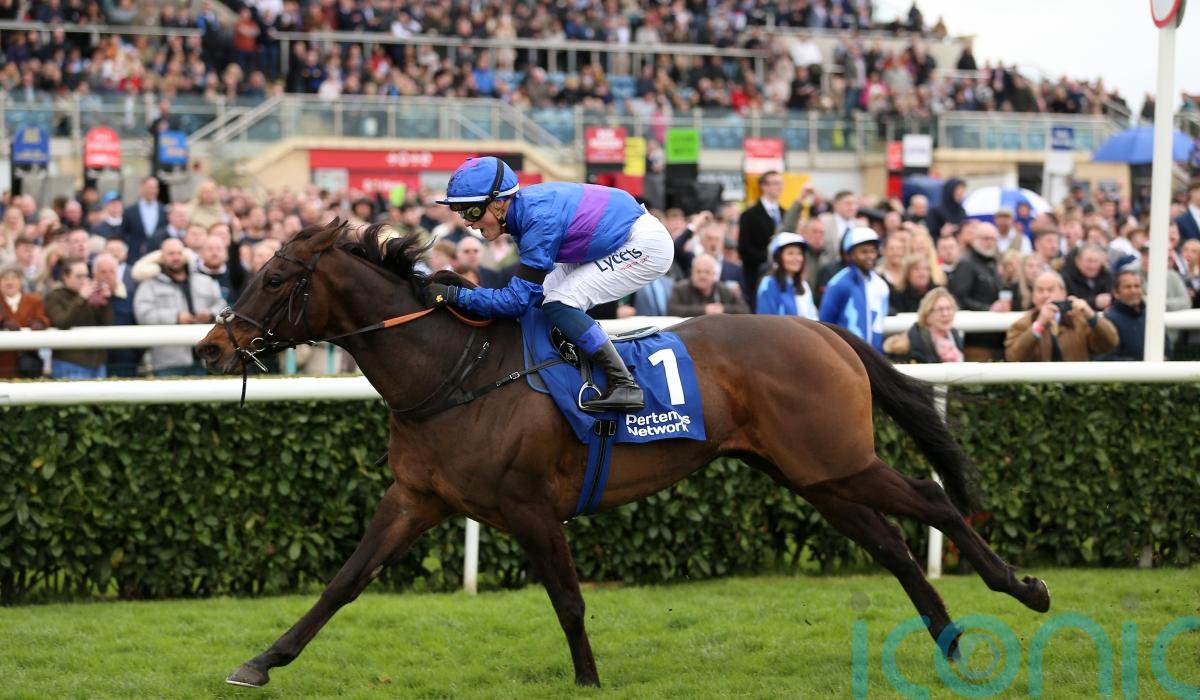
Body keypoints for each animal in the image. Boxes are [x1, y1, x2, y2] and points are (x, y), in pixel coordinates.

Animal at [197, 219, 1051, 689]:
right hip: (812, 473)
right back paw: (948, 639)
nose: (210, 347)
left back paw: (1022, 589)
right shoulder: (416, 499)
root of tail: (824, 329)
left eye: (275, 276)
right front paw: (260, 662)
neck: (452, 374)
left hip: (835, 460)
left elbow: (568, 599)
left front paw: (586, 678)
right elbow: (343, 583)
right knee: (893, 544)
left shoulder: (529, 508)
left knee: (932, 500)